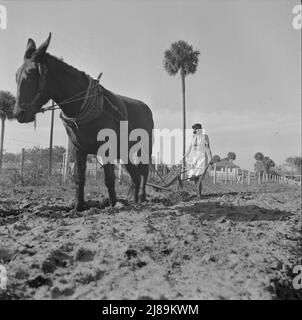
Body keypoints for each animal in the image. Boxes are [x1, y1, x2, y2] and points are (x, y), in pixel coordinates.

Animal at [13, 33, 153, 211]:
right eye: (16, 75)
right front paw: (77, 207)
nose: (18, 113)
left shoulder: (106, 149)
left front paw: (114, 204)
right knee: (134, 174)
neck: (82, 105)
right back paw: (134, 200)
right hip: (123, 150)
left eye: (31, 74)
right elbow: (79, 178)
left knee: (144, 171)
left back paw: (141, 197)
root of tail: (145, 107)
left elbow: (109, 179)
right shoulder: (78, 149)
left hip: (144, 147)